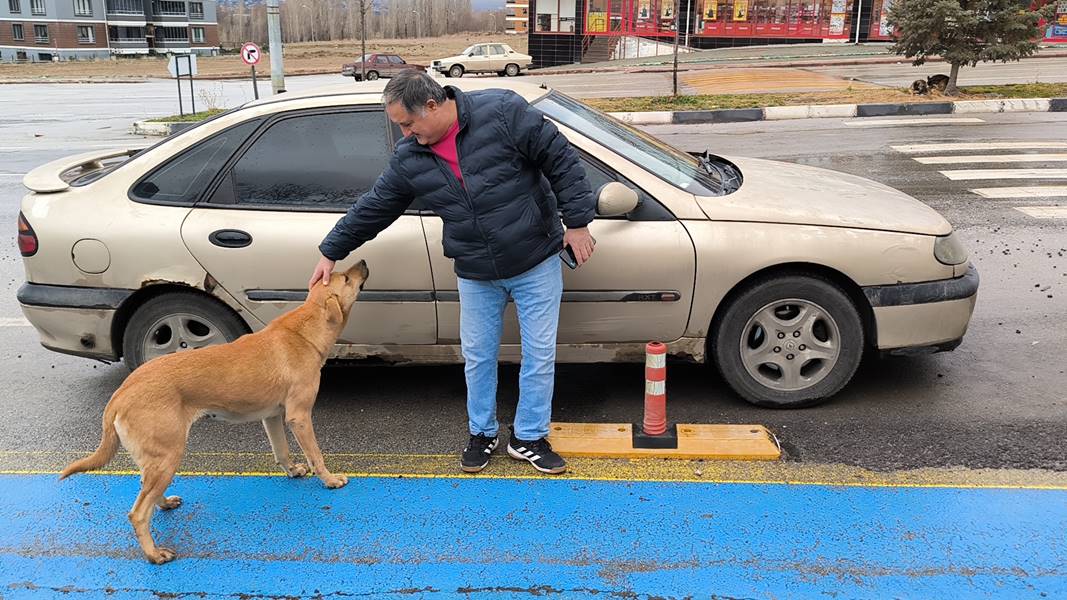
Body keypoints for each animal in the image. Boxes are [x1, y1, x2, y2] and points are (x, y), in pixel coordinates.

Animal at [63, 259, 371, 563]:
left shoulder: (273, 416)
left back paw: (165, 504)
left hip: (155, 459)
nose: (364, 262)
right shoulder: (300, 416)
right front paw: (330, 480)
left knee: (146, 491)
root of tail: (121, 392)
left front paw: (293, 471)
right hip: (168, 456)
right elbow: (316, 455)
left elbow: (281, 451)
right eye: (345, 279)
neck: (305, 330)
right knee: (138, 513)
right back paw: (154, 553)